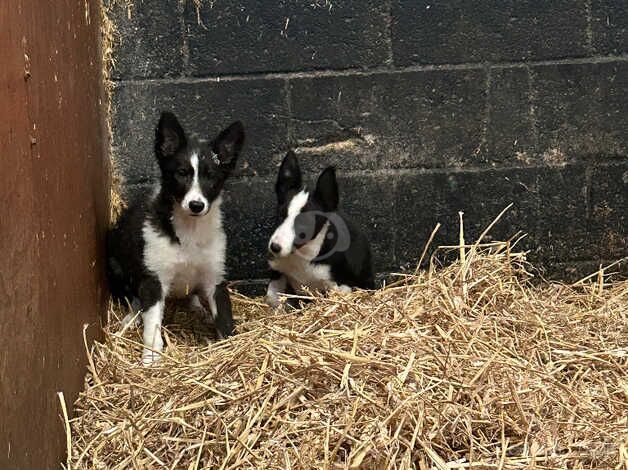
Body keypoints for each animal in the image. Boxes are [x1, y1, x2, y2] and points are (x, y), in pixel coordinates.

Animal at [106, 112, 244, 366]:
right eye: (181, 174)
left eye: (211, 177)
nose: (196, 205)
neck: (190, 229)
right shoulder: (153, 280)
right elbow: (152, 326)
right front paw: (151, 357)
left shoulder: (215, 279)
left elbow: (225, 320)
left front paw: (229, 347)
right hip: (115, 265)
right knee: (133, 298)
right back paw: (132, 317)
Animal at [264, 149, 372, 306]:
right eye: (280, 215)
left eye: (305, 223)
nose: (275, 247)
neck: (302, 255)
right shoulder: (278, 271)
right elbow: (272, 297)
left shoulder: (340, 285)